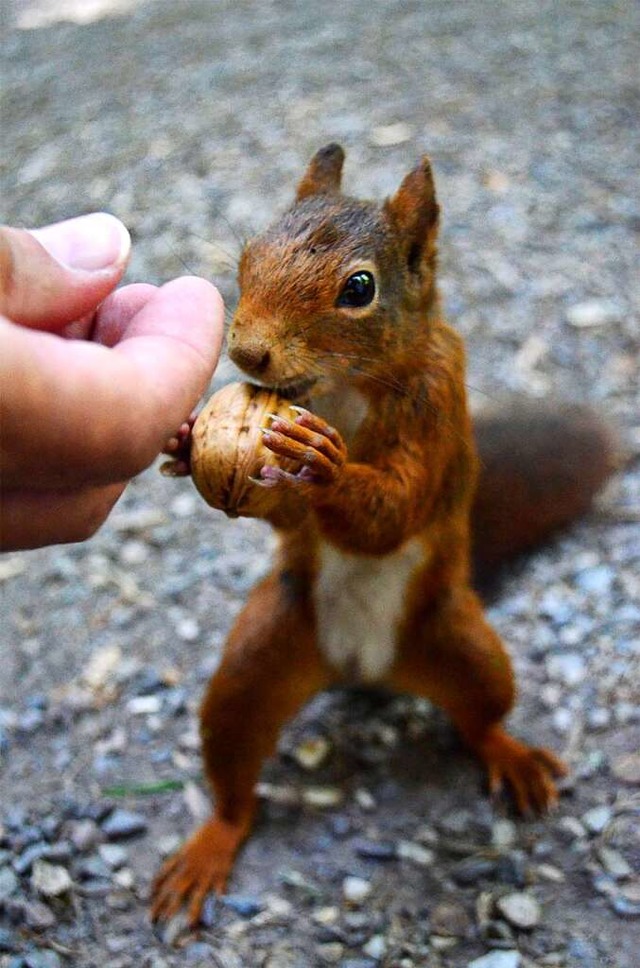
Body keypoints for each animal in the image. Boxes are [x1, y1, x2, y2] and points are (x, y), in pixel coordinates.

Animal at [150, 142, 616, 924]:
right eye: (249, 255)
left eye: (359, 288)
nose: (246, 353)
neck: (339, 389)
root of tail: (363, 667)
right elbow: (285, 515)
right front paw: (188, 445)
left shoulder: (437, 411)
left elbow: (395, 508)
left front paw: (327, 467)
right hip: (261, 657)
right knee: (235, 773)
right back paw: (211, 845)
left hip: (464, 645)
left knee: (481, 717)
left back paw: (512, 757)